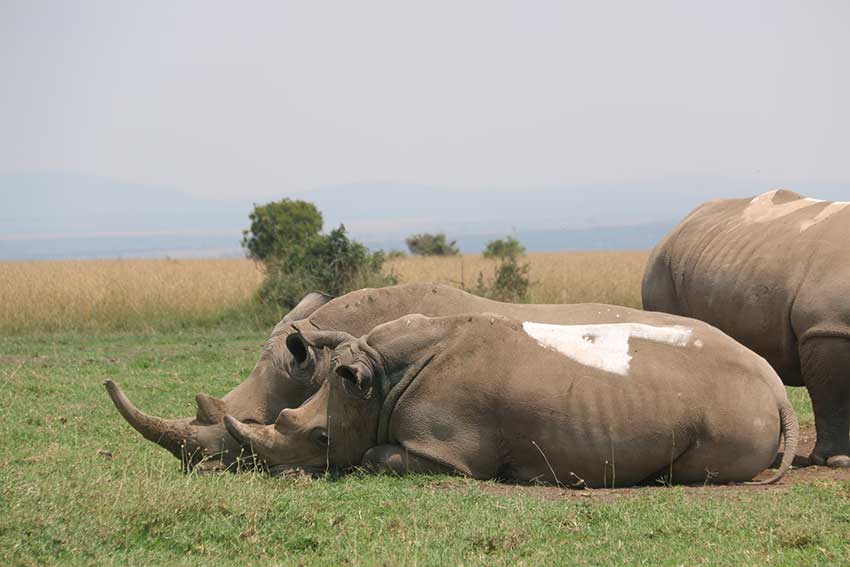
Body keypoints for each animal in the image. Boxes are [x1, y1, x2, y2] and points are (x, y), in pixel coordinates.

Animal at [224, 311, 798, 487]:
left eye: (321, 438)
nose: (279, 473)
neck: (377, 382)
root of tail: (775, 389)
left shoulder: (448, 452)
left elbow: (373, 456)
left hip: (733, 412)